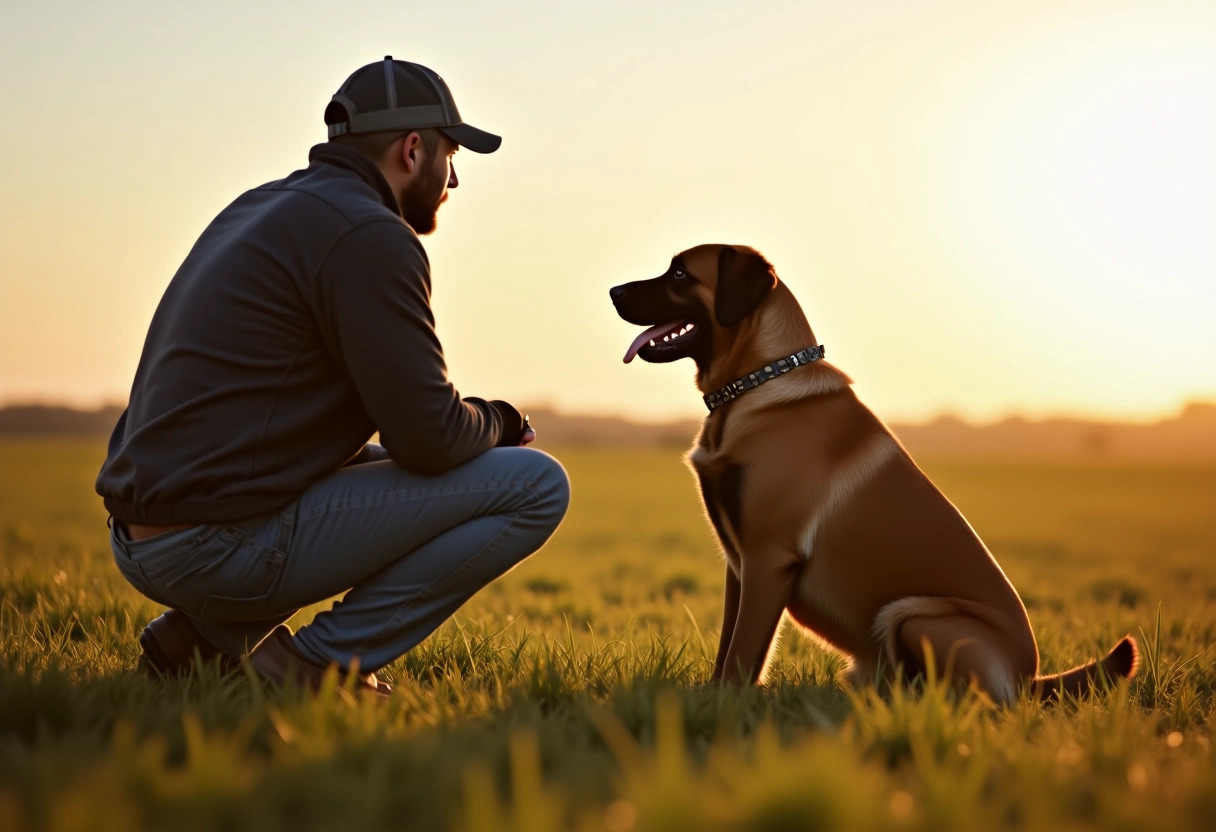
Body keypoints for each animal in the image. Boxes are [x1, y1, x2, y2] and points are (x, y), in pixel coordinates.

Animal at [612, 245, 1133, 700]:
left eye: (680, 274)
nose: (614, 291)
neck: (757, 384)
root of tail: (1030, 680)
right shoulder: (738, 565)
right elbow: (729, 645)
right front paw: (711, 697)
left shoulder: (767, 557)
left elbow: (743, 652)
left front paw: (727, 706)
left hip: (913, 614)